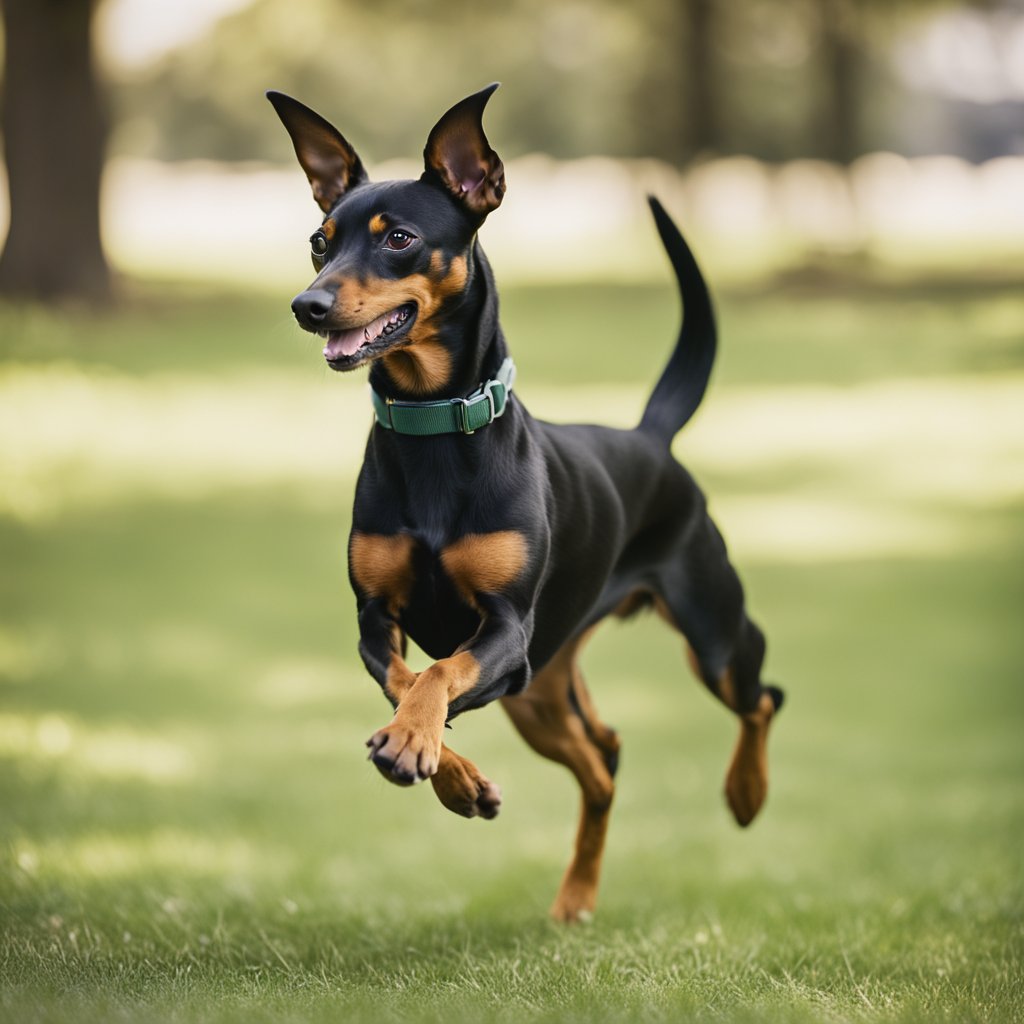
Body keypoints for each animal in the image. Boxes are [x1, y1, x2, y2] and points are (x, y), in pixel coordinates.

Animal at [268, 84, 784, 922]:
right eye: (320, 240)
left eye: (400, 238)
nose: (307, 305)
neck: (435, 427)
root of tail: (649, 437)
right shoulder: (378, 620)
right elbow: (410, 682)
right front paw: (450, 774)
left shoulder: (505, 628)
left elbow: (438, 678)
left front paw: (418, 746)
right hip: (541, 684)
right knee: (604, 759)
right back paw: (576, 896)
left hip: (705, 632)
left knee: (761, 696)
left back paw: (746, 792)